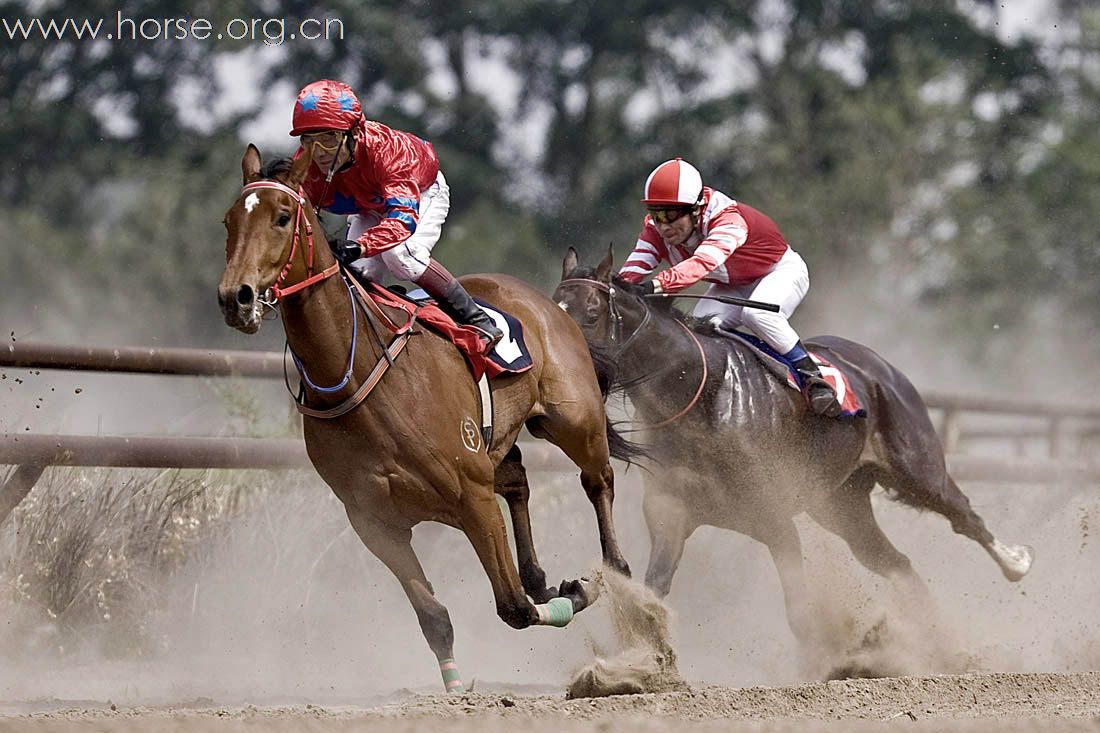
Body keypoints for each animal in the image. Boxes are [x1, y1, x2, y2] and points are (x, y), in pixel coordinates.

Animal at [215, 145, 638, 695]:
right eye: (228, 221)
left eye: (282, 217)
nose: (236, 297)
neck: (359, 374)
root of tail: (548, 301)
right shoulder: (374, 522)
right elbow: (434, 616)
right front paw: (455, 685)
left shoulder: (472, 497)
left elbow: (514, 609)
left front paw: (578, 591)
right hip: (498, 440)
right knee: (518, 479)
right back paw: (541, 575)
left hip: (574, 422)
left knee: (597, 481)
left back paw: (614, 570)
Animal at [554, 246, 1034, 651]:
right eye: (554, 308)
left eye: (591, 313)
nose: (563, 369)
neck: (700, 393)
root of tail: (878, 365)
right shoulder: (672, 513)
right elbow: (651, 594)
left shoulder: (775, 520)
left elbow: (801, 615)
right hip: (841, 505)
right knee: (896, 562)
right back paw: (939, 639)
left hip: (917, 468)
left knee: (964, 516)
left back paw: (1014, 563)